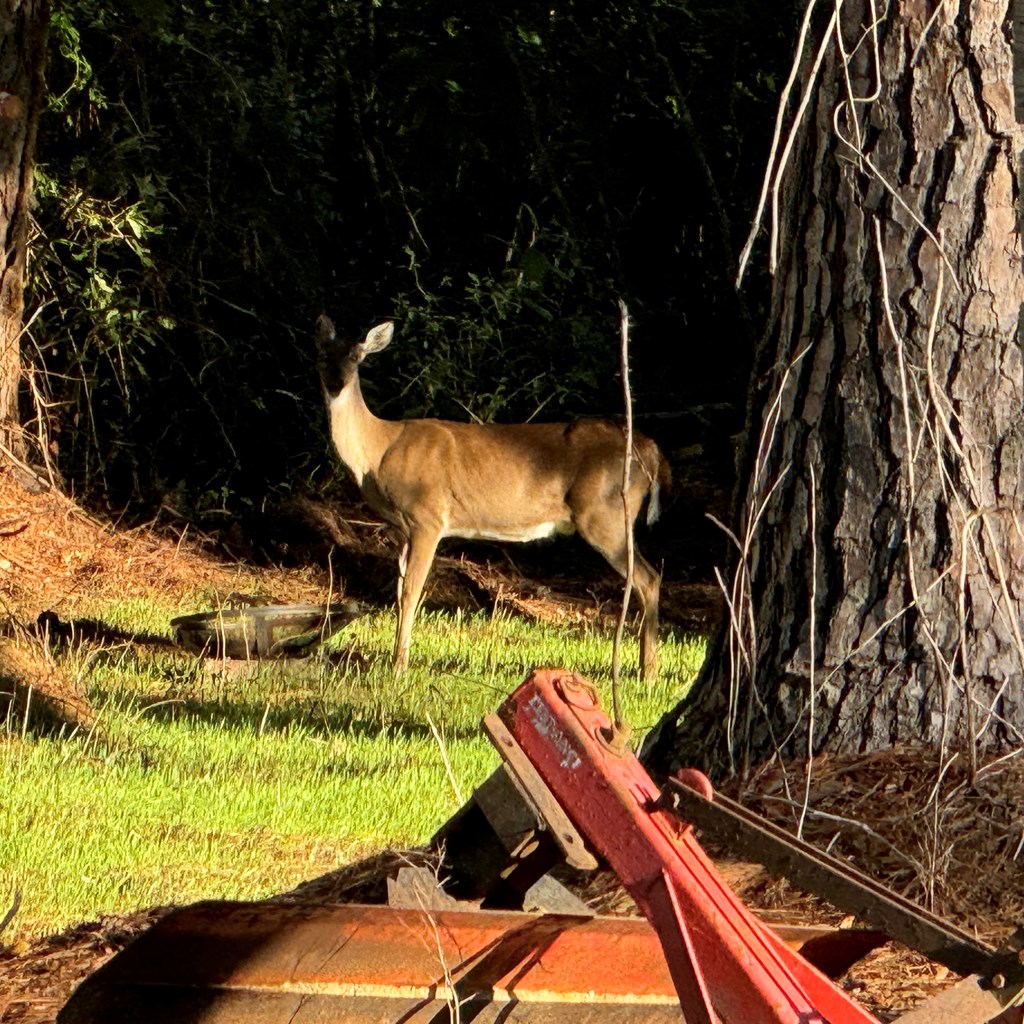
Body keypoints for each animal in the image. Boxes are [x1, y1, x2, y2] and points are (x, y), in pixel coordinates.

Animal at [315, 315, 669, 679]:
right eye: (323, 354)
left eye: (356, 357)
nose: (337, 382)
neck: (378, 450)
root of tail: (651, 451)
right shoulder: (402, 528)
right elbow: (399, 592)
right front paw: (395, 660)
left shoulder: (427, 516)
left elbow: (412, 591)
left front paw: (399, 666)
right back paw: (645, 668)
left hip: (604, 512)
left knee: (648, 578)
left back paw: (648, 672)